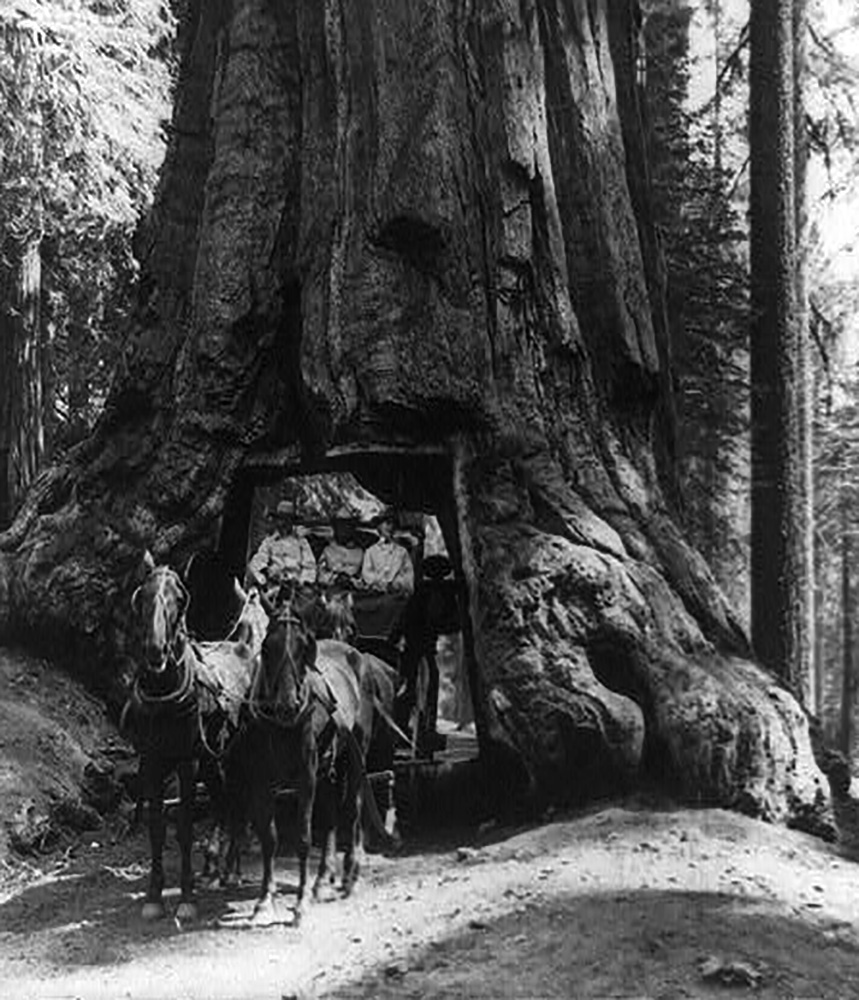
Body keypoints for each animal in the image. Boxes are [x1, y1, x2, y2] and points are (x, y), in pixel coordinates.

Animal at [126, 552, 268, 916]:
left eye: (179, 599)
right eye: (143, 596)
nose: (156, 650)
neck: (165, 694)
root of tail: (243, 648)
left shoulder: (185, 762)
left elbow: (185, 828)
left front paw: (187, 898)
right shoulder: (152, 760)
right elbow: (157, 828)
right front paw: (153, 896)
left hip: (237, 757)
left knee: (239, 803)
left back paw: (231, 869)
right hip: (213, 760)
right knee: (225, 801)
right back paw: (216, 867)